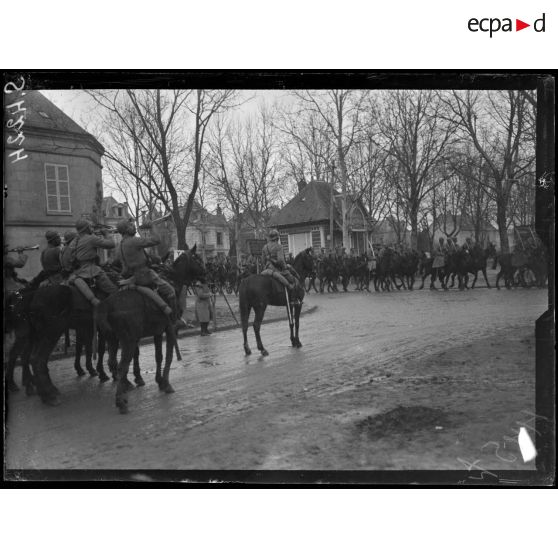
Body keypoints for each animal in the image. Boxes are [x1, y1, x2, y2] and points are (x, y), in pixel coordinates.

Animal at [96, 249, 206, 416]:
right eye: (198, 259)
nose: (206, 274)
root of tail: (108, 303)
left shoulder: (158, 332)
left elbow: (158, 356)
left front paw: (159, 381)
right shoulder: (171, 329)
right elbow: (169, 356)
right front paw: (166, 384)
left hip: (114, 339)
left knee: (113, 362)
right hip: (128, 341)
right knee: (122, 366)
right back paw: (121, 401)